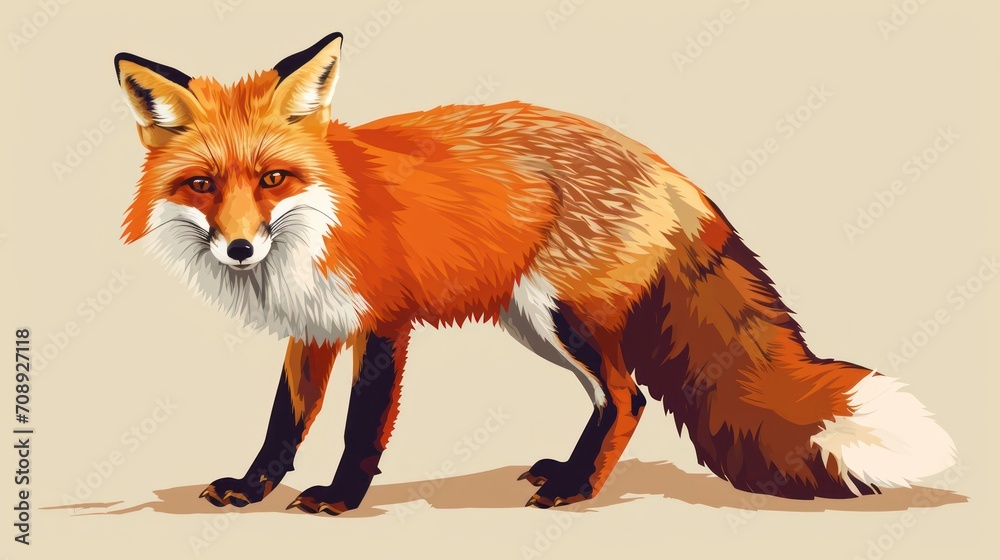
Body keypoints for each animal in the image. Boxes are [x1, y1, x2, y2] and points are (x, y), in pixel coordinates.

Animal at [114, 32, 955, 514]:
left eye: (272, 179)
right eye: (202, 185)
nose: (239, 250)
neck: (322, 220)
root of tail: (667, 168)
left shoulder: (383, 321)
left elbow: (360, 426)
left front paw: (341, 498)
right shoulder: (315, 327)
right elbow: (283, 422)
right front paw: (252, 488)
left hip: (563, 315)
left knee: (629, 397)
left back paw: (577, 491)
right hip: (534, 323)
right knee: (614, 399)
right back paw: (567, 472)